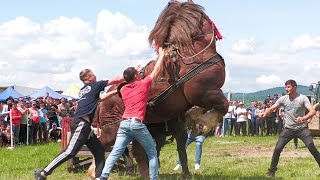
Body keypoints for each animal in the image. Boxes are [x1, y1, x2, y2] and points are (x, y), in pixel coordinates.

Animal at [96, 0, 229, 179]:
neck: (194, 55)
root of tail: (103, 100)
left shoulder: (188, 115)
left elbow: (181, 151)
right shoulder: (206, 93)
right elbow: (223, 106)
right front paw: (201, 125)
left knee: (131, 151)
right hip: (112, 129)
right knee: (106, 146)